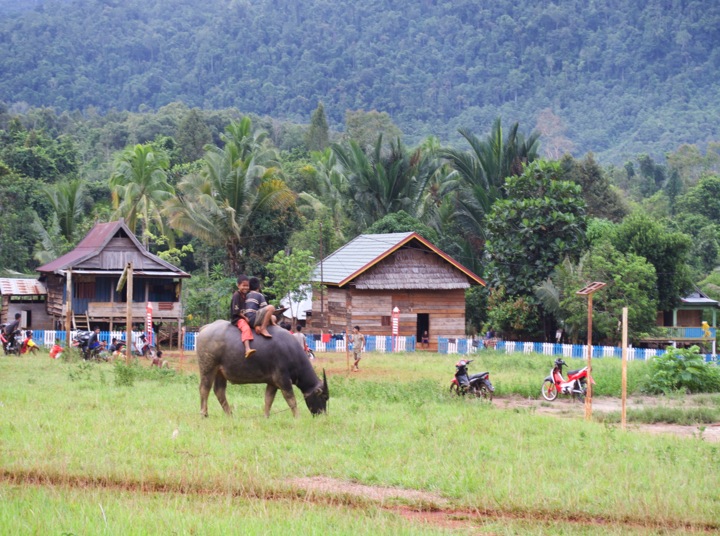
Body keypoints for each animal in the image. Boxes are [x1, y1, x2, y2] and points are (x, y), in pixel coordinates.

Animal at [198, 320, 330, 416]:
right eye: (324, 397)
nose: (323, 415)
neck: (291, 351)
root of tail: (205, 328)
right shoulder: (283, 380)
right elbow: (291, 399)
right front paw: (297, 416)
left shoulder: (272, 382)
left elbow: (268, 399)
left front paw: (266, 416)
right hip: (208, 368)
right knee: (204, 389)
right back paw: (204, 414)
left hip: (220, 372)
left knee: (219, 391)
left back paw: (229, 414)